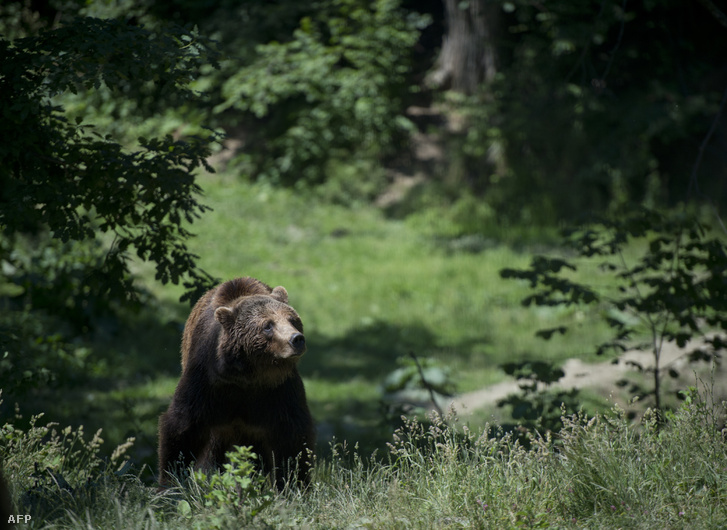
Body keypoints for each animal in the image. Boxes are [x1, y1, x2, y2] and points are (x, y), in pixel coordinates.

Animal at [156, 276, 316, 486]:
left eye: (292, 319)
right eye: (268, 325)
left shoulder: (278, 389)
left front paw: (294, 481)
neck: (248, 376)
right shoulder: (208, 381)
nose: (296, 339)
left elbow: (293, 435)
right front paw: (171, 480)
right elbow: (182, 425)